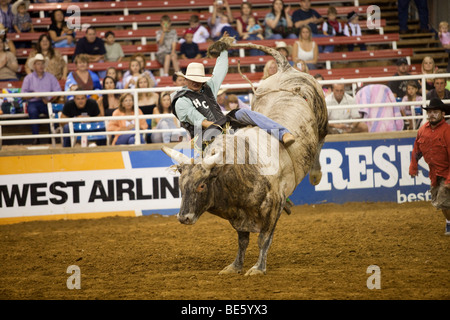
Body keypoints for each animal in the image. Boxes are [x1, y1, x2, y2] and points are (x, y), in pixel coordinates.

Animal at [161, 35, 326, 276]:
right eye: (181, 185)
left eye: (202, 185)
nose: (184, 218)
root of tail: (285, 69)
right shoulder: (238, 216)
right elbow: (243, 241)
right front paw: (235, 266)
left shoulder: (273, 207)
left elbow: (263, 240)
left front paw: (258, 268)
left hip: (322, 118)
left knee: (321, 140)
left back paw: (312, 170)